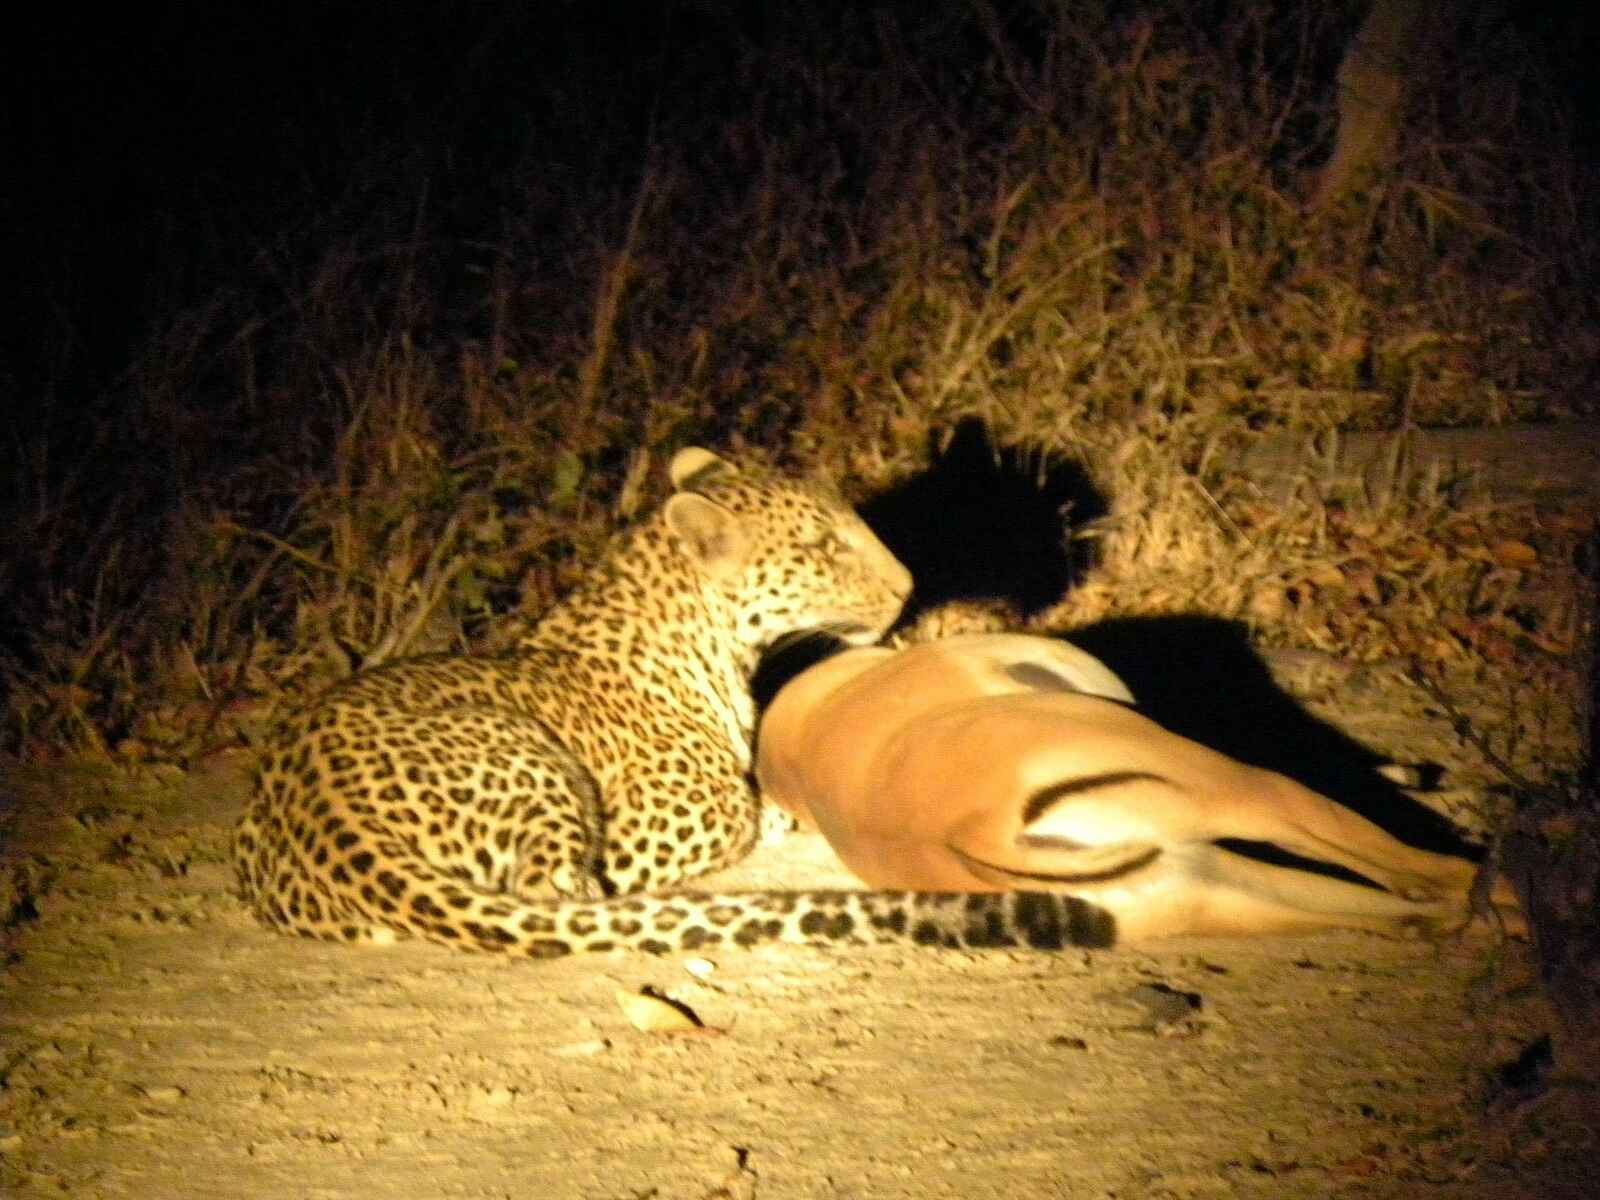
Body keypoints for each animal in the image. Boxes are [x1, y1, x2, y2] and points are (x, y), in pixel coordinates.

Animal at [235, 446, 1108, 958]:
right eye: (822, 546)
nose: (906, 585)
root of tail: (326, 815)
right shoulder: (664, 821)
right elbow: (743, 810)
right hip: (536, 771)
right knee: (564, 896)